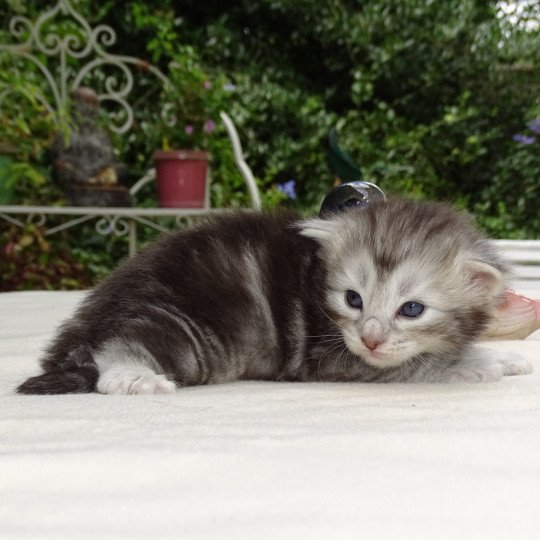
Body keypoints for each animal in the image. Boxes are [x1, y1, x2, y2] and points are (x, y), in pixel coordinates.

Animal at [15, 196, 532, 394]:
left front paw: (505, 357)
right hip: (181, 326)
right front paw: (481, 363)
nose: (370, 339)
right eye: (353, 299)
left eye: (412, 309)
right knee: (121, 346)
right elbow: (421, 365)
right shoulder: (332, 358)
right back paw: (133, 377)